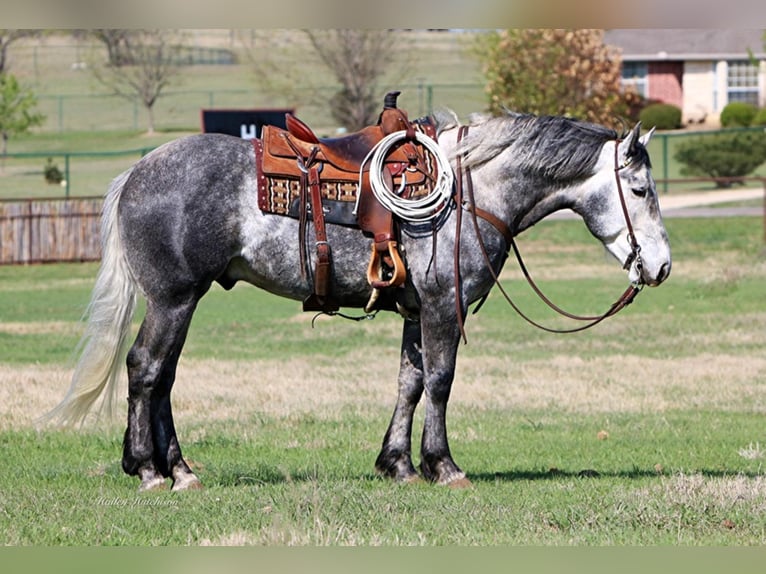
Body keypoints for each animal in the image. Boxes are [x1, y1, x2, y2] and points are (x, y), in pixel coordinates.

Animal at [48, 110, 672, 492]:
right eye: (640, 189)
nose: (662, 266)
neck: (472, 190)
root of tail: (136, 171)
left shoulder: (417, 312)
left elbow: (409, 383)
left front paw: (398, 464)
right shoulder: (444, 306)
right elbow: (440, 381)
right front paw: (443, 465)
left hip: (183, 301)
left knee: (164, 378)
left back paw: (178, 468)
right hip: (173, 300)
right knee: (146, 370)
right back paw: (151, 471)